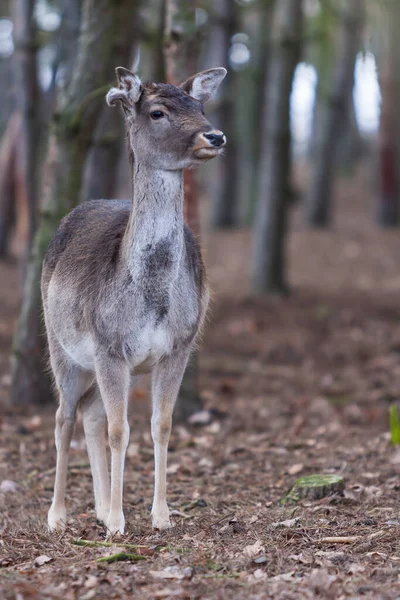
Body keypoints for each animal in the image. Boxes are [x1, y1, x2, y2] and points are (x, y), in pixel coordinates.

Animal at [43, 67, 228, 536]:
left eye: (200, 105)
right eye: (157, 111)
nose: (215, 136)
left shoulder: (178, 346)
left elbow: (160, 425)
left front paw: (160, 516)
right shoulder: (109, 346)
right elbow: (119, 430)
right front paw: (118, 523)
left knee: (89, 412)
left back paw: (98, 506)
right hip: (59, 344)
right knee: (64, 416)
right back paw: (58, 515)